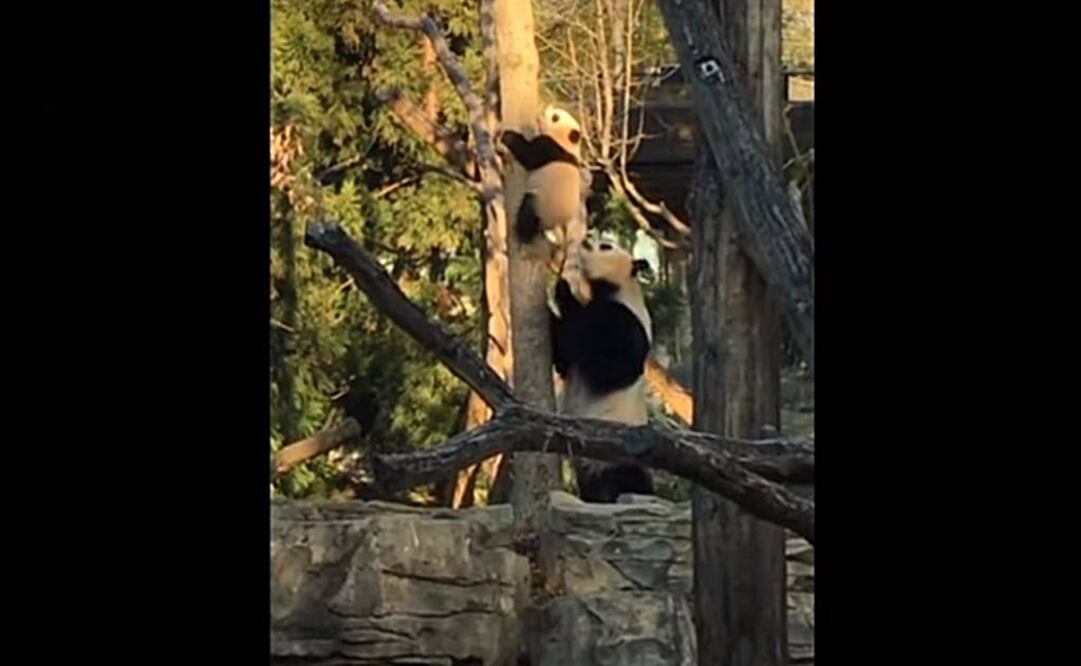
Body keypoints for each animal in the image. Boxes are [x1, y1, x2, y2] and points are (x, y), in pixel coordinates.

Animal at [499, 105, 583, 247]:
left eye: (555, 117)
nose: (545, 109)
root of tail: (555, 225)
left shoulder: (550, 147)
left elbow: (530, 155)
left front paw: (508, 136)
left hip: (543, 204)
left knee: (528, 210)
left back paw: (522, 234)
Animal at [550, 236, 656, 503]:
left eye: (606, 246)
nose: (586, 239)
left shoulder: (626, 321)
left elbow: (611, 366)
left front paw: (564, 291)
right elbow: (565, 360)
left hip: (618, 457)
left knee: (629, 483)